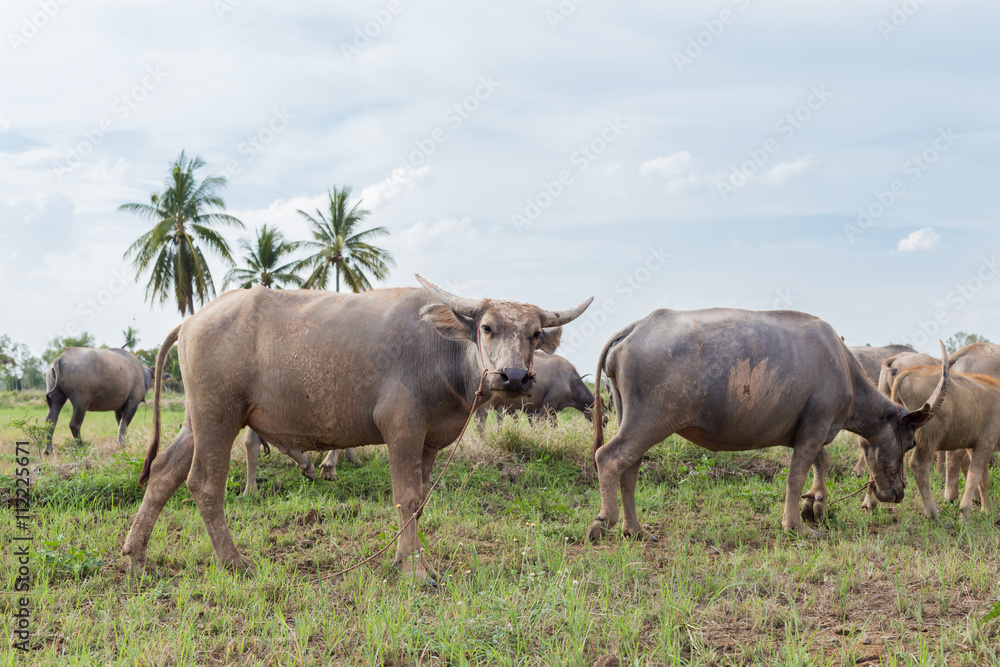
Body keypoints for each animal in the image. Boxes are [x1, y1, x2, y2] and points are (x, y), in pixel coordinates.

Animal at [125, 276, 592, 580]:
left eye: (535, 334)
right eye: (487, 327)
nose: (513, 377)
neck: (441, 353)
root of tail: (191, 321)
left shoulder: (430, 442)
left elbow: (420, 501)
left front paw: (406, 558)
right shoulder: (401, 429)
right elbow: (406, 497)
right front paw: (416, 570)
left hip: (197, 419)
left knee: (164, 472)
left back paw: (136, 555)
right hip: (219, 415)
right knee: (204, 483)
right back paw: (234, 562)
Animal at [864, 360, 996, 520]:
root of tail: (906, 373)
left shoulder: (974, 446)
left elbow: (983, 479)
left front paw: (986, 509)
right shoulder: (985, 443)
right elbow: (974, 476)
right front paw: (966, 513)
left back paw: (869, 503)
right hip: (928, 437)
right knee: (918, 465)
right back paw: (932, 513)